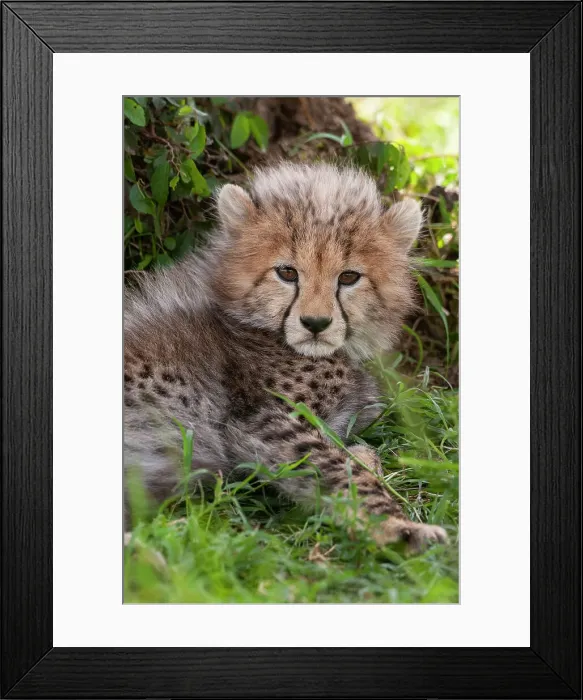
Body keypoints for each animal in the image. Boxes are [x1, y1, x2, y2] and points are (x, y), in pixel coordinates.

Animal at [124, 162, 448, 553]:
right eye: (287, 273)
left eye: (349, 277)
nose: (316, 323)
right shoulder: (265, 421)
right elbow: (337, 468)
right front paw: (400, 527)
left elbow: (357, 452)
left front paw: (366, 460)